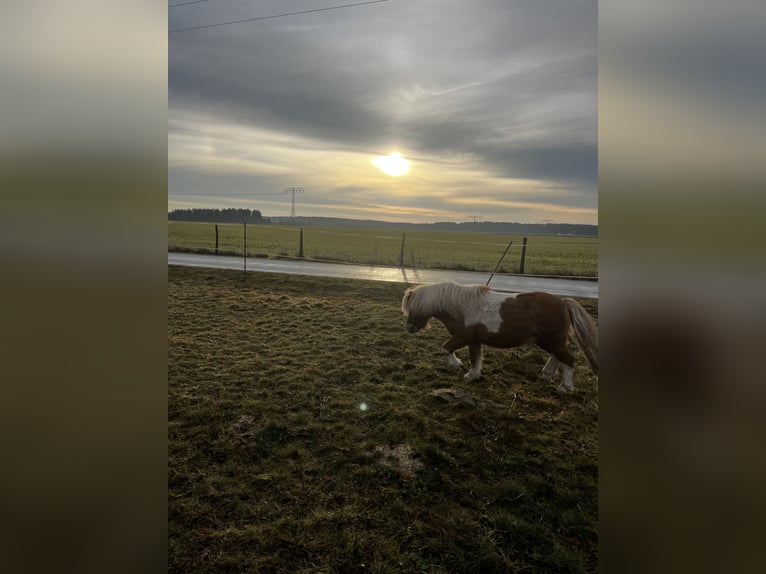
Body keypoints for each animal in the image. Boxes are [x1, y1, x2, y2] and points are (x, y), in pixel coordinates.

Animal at [401, 282, 598, 393]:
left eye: (414, 308)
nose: (409, 328)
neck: (462, 307)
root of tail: (563, 302)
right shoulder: (474, 340)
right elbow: (475, 358)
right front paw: (473, 375)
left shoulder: (463, 337)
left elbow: (445, 349)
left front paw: (457, 365)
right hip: (549, 341)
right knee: (557, 357)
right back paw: (547, 375)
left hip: (551, 341)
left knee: (569, 359)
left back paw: (565, 388)